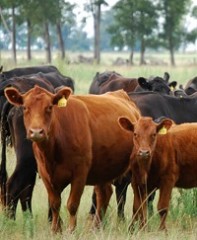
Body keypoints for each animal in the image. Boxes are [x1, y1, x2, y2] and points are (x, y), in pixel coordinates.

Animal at [4, 86, 140, 232]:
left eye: (49, 107)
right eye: (25, 107)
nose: (36, 132)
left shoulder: (79, 174)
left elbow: (72, 204)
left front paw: (71, 230)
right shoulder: (45, 174)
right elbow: (54, 203)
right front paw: (55, 230)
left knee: (137, 194)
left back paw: (133, 226)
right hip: (103, 170)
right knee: (104, 194)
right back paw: (96, 227)